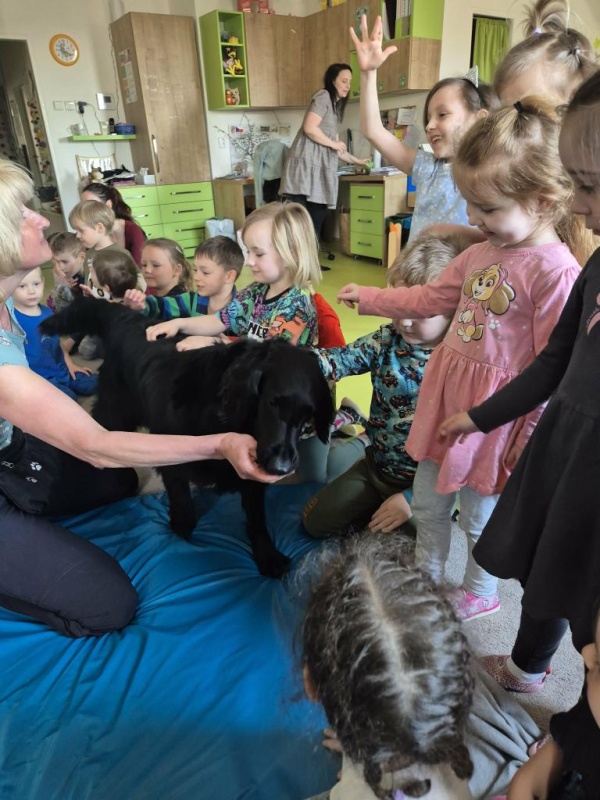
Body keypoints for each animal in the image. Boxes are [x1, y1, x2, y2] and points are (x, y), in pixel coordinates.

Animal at [41, 299, 333, 578]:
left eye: (308, 415)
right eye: (272, 403)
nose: (281, 468)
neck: (225, 411)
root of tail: (128, 317)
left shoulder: (252, 476)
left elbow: (257, 518)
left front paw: (267, 555)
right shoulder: (173, 457)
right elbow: (183, 504)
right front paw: (180, 534)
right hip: (117, 409)